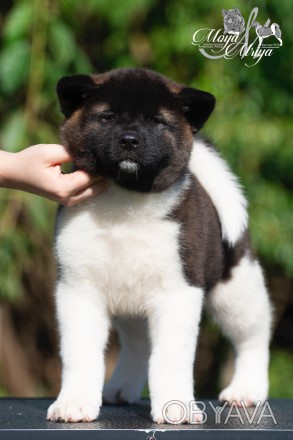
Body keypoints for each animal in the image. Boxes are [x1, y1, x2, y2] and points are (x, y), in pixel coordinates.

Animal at [46, 68, 272, 422]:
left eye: (157, 122)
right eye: (108, 116)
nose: (129, 140)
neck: (124, 202)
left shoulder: (178, 293)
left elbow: (170, 358)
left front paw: (175, 407)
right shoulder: (77, 290)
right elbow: (80, 354)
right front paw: (74, 403)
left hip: (236, 288)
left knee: (254, 336)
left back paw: (247, 390)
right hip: (132, 305)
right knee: (139, 345)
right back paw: (121, 388)